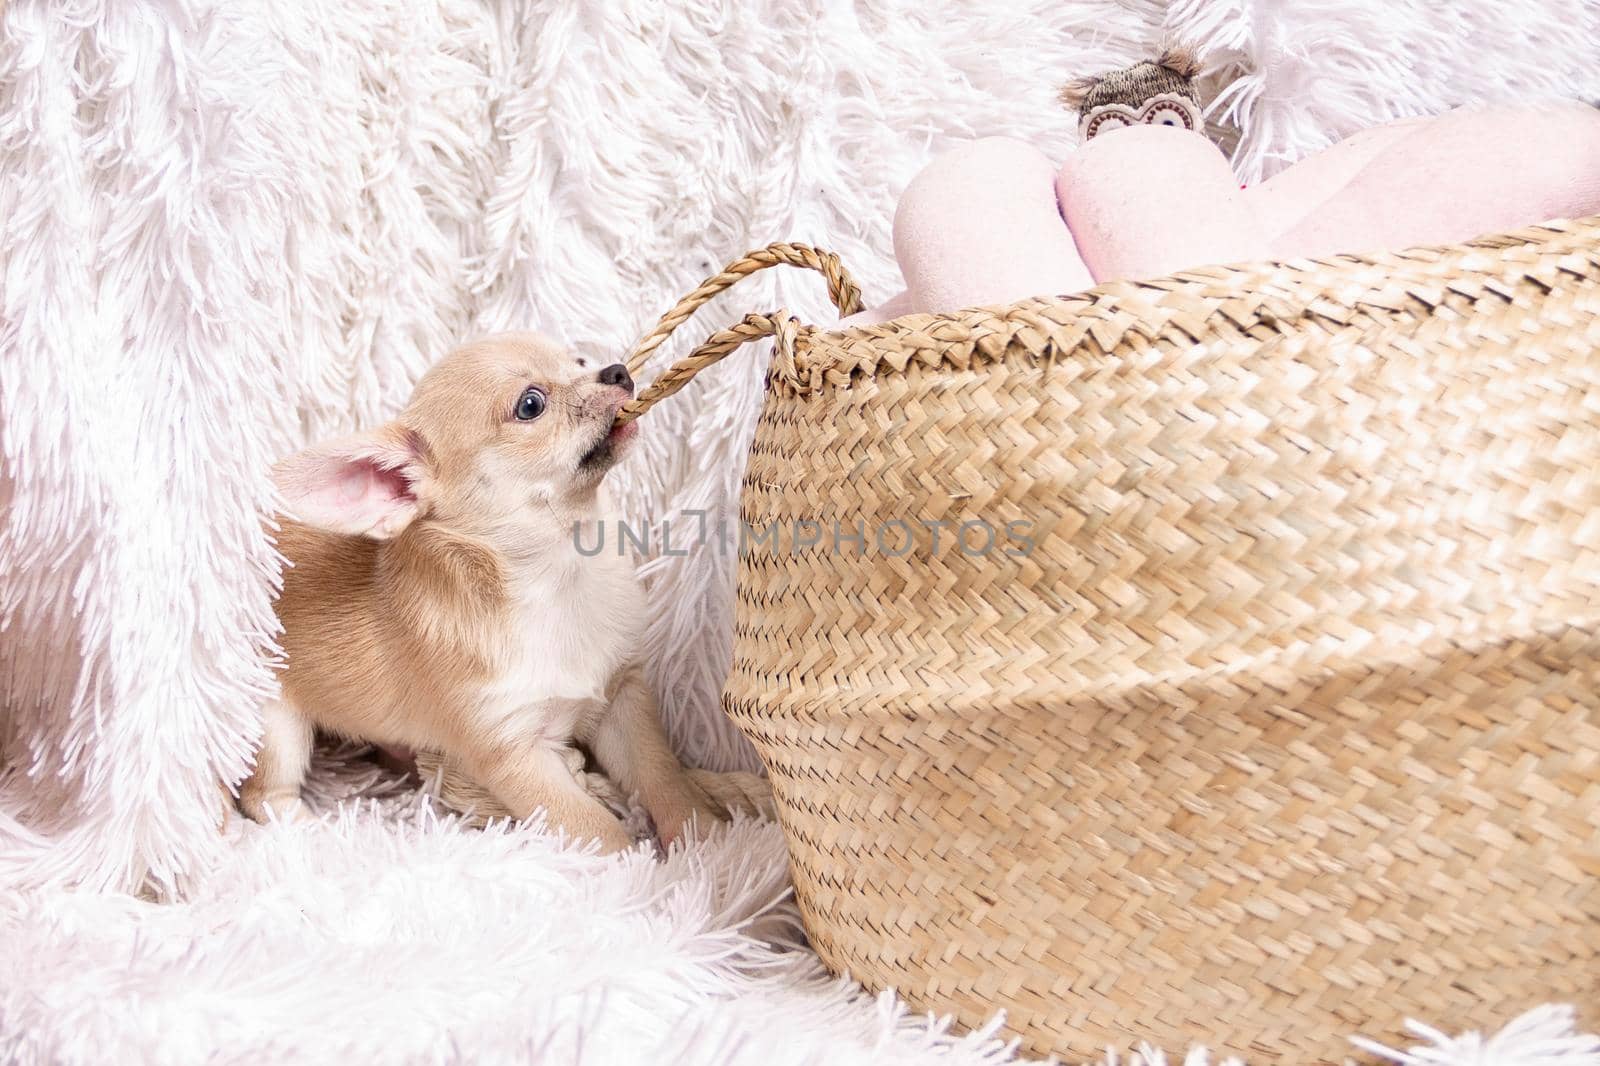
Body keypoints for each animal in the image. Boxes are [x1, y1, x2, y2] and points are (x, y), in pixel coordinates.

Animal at [244, 332, 768, 845]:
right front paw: (640, 865)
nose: (617, 371)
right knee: (263, 798)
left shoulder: (623, 699)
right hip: (276, 729)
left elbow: (663, 776)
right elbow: (596, 830)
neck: (560, 575)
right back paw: (318, 831)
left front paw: (705, 840)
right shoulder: (513, 753)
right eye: (530, 405)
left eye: (579, 360)